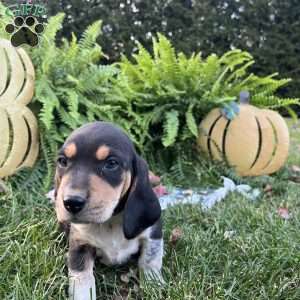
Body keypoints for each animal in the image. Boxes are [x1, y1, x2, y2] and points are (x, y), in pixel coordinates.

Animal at [52, 122, 163, 300]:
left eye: (111, 163)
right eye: (62, 161)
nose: (71, 203)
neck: (109, 221)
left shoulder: (153, 232)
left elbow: (150, 260)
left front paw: (154, 285)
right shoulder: (79, 244)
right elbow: (82, 279)